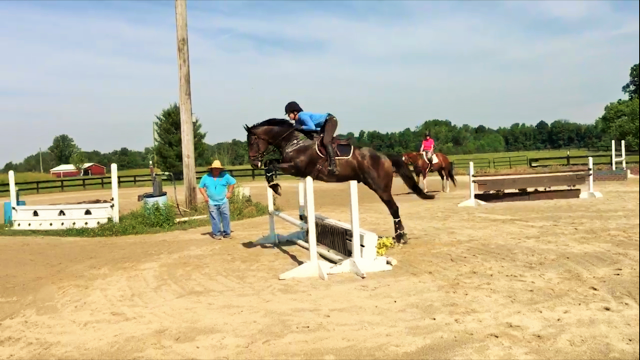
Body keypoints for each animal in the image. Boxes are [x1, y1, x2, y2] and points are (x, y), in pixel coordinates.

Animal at [242, 119, 438, 246]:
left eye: (252, 141)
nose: (253, 163)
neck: (294, 141)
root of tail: (384, 157)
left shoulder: (297, 168)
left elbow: (270, 165)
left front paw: (276, 187)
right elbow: (270, 163)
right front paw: (274, 186)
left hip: (380, 188)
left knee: (394, 208)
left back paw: (399, 237)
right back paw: (401, 236)